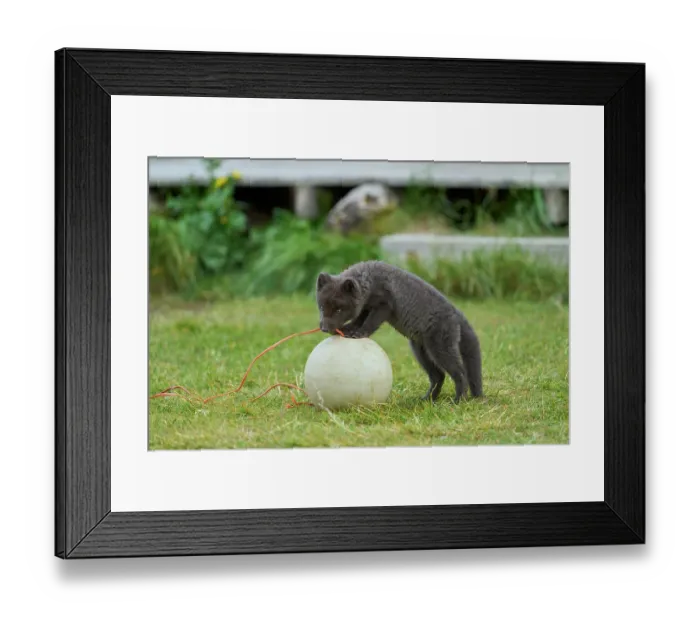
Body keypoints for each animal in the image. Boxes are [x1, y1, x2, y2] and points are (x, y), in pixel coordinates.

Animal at [315, 260, 483, 403]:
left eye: (338, 310)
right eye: (322, 307)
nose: (324, 328)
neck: (370, 280)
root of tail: (456, 313)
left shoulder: (384, 305)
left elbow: (369, 323)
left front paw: (359, 333)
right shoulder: (366, 307)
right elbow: (358, 319)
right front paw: (348, 329)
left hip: (441, 349)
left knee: (461, 373)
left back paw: (458, 400)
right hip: (421, 352)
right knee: (438, 376)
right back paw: (427, 400)